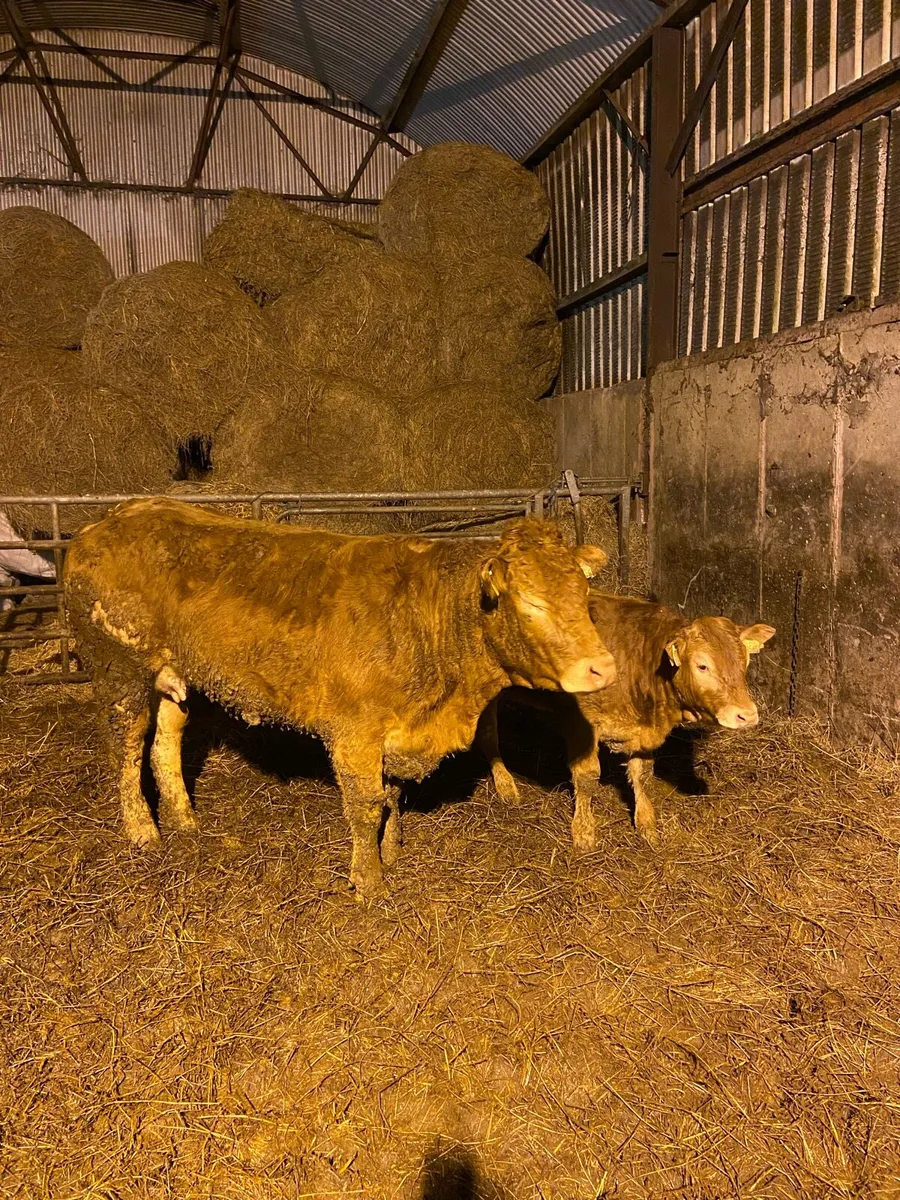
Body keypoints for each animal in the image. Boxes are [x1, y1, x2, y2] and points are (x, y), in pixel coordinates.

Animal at [63, 498, 616, 899]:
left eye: (583, 598)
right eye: (531, 602)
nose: (603, 667)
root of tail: (108, 520)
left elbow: (392, 795)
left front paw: (391, 850)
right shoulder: (355, 732)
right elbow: (365, 805)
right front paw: (368, 880)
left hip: (174, 678)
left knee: (166, 741)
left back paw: (183, 818)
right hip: (119, 669)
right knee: (126, 748)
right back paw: (143, 831)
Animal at [480, 592, 775, 849]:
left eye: (745, 662)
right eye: (702, 665)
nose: (747, 714)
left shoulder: (644, 733)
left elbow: (642, 775)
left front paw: (647, 825)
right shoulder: (581, 723)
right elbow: (587, 777)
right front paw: (584, 833)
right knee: (488, 732)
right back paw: (506, 786)